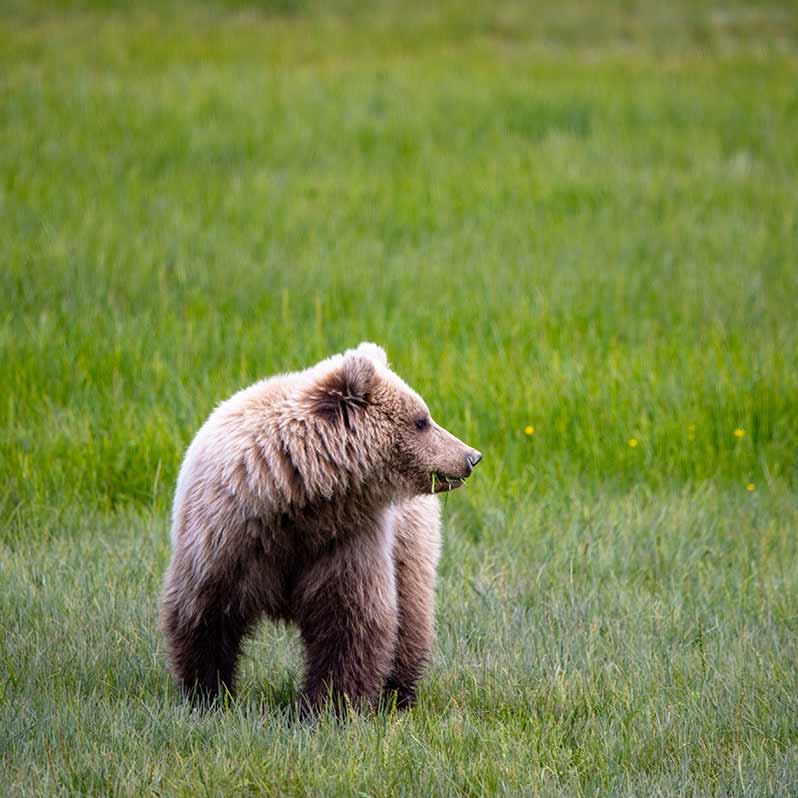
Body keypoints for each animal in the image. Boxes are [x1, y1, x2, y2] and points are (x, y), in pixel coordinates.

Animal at [162, 342, 482, 712]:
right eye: (422, 420)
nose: (471, 457)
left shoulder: (345, 541)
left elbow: (350, 621)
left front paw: (328, 704)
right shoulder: (226, 535)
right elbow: (204, 614)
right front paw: (207, 694)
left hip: (409, 543)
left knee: (411, 613)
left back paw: (397, 694)